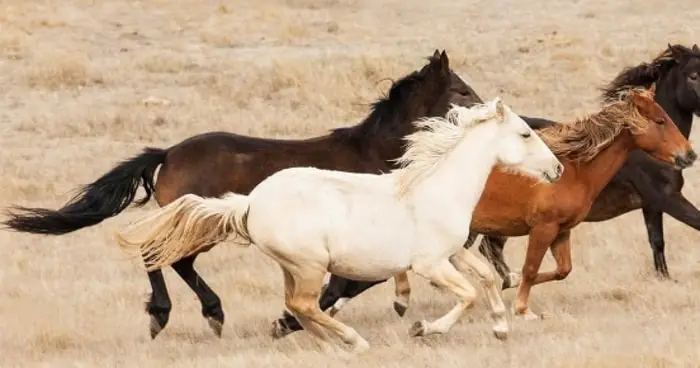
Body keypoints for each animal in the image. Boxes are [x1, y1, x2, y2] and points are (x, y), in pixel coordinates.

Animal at [1, 49, 482, 340]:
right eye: (461, 89)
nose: (487, 110)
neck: (374, 153)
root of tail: (168, 154)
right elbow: (353, 281)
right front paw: (288, 322)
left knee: (174, 260)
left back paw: (204, 314)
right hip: (200, 225)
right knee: (158, 254)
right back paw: (170, 315)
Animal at [115, 98, 564, 354]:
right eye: (525, 133)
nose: (557, 169)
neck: (436, 187)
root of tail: (251, 202)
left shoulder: (454, 253)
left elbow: (486, 278)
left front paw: (501, 327)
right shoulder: (430, 264)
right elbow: (468, 294)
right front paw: (423, 328)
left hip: (292, 267)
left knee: (299, 306)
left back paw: (328, 343)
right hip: (310, 266)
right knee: (304, 304)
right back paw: (352, 341)